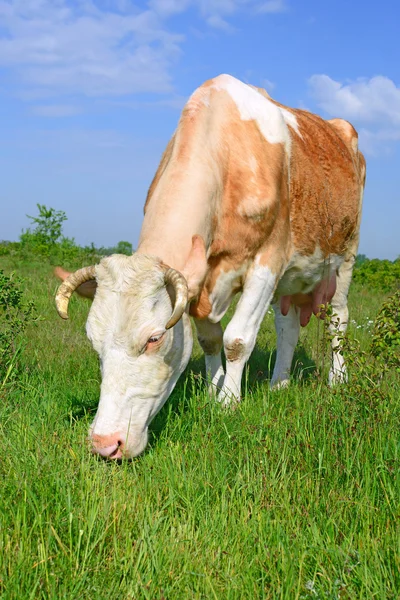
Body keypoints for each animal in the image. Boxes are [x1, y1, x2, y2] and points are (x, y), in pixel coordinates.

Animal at [54, 74, 366, 460]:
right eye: (93, 341)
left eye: (154, 338)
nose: (105, 443)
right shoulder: (199, 280)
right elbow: (209, 339)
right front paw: (210, 390)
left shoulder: (267, 263)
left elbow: (237, 339)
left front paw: (228, 402)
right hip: (291, 282)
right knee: (288, 328)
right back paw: (279, 384)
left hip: (344, 259)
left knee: (339, 321)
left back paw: (338, 380)